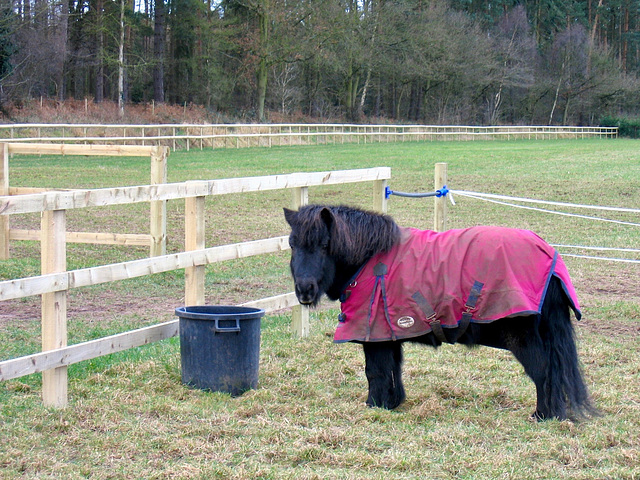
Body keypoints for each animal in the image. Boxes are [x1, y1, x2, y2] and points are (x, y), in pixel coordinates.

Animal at [282, 203, 596, 420]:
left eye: (325, 244)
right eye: (292, 244)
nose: (305, 290)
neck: (370, 260)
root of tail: (549, 256)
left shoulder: (375, 338)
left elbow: (376, 372)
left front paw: (374, 406)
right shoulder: (389, 335)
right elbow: (393, 370)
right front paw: (391, 403)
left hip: (523, 338)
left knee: (543, 372)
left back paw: (543, 415)